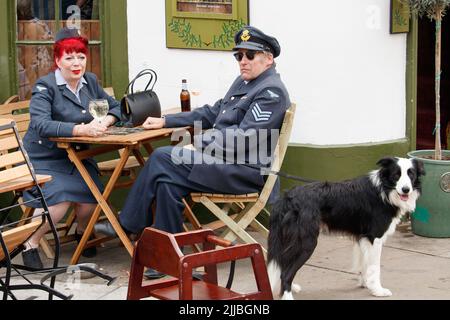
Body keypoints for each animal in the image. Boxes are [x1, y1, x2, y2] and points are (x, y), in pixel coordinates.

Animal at [268, 158, 426, 300]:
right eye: (396, 175)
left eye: (411, 175)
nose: (406, 189)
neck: (384, 191)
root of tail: (286, 198)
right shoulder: (375, 237)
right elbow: (375, 267)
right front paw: (377, 290)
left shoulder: (363, 237)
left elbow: (364, 263)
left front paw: (366, 284)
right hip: (306, 243)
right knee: (285, 273)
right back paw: (288, 295)